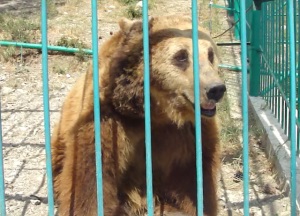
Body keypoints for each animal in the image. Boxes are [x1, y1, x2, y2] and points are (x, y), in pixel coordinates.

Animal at [51, 15, 225, 216]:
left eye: (210, 54)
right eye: (181, 56)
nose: (216, 89)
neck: (157, 111)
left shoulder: (192, 134)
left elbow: (195, 183)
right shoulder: (109, 121)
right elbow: (92, 180)